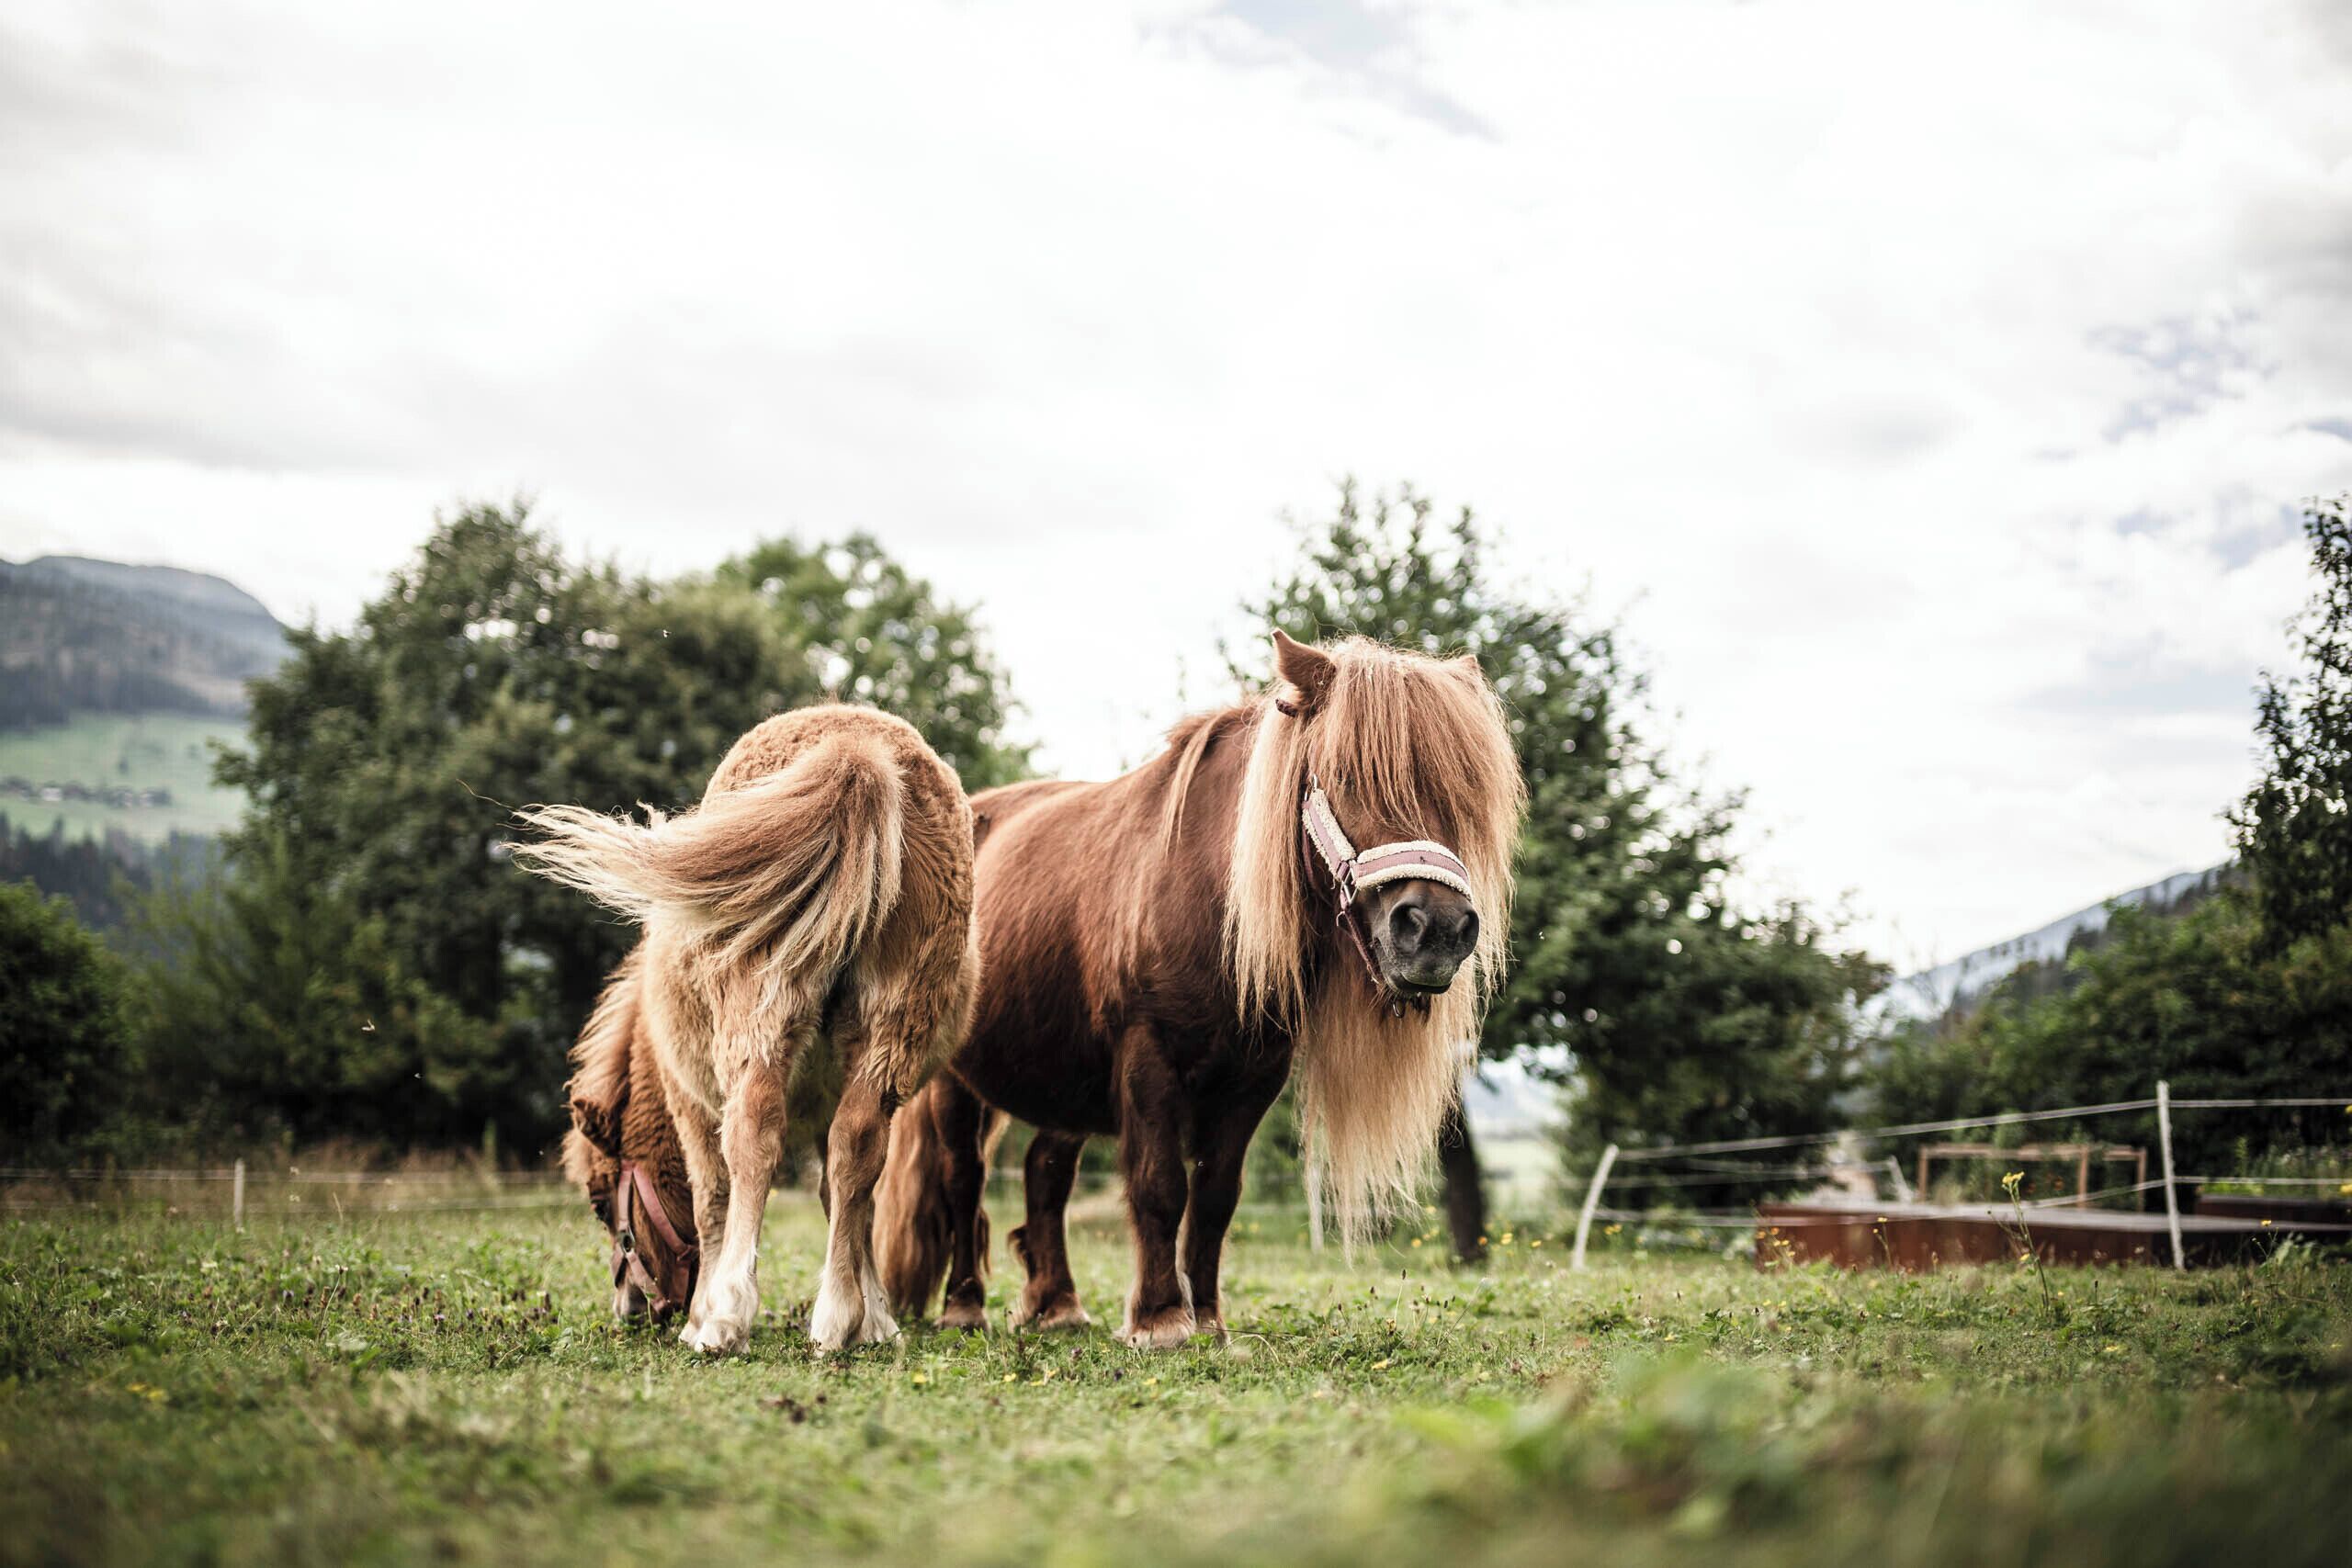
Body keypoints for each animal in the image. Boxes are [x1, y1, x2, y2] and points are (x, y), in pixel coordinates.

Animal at [518, 704, 978, 1354]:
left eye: (603, 1205)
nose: (631, 1308)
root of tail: (857, 748)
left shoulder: (688, 1100)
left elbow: (713, 1194)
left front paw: (703, 1316)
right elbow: (847, 1198)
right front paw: (876, 1321)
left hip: (761, 1009)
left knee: (753, 1132)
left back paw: (728, 1315)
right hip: (888, 1027)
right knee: (859, 1143)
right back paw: (836, 1318)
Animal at [875, 631, 1522, 1346]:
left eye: (1464, 793)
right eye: (1349, 776)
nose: (1438, 929)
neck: (1208, 897)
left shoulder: (1254, 1078)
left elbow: (1216, 1196)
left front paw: (1209, 1317)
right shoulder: (1147, 1057)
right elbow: (1160, 1186)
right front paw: (1161, 1317)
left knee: (1046, 1171)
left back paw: (1058, 1304)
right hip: (954, 1081)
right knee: (962, 1177)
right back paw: (964, 1305)